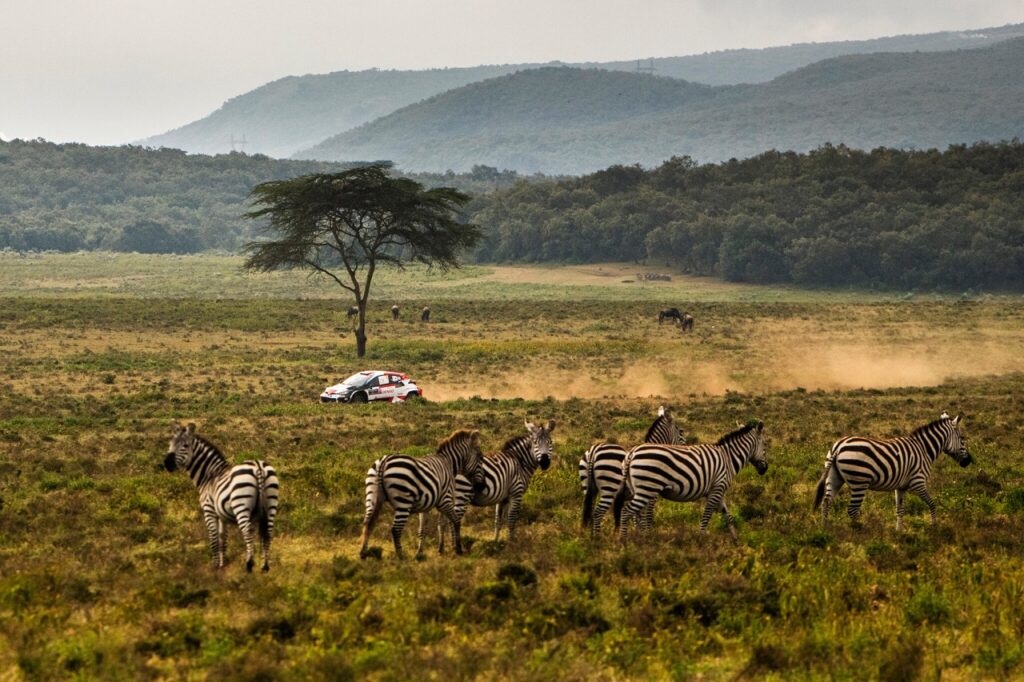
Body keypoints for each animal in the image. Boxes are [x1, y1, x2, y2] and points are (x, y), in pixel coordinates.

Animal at [162, 419, 278, 569]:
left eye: (185, 445)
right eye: (170, 444)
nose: (167, 464)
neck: (209, 475)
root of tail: (258, 466)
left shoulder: (209, 510)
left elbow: (214, 539)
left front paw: (215, 566)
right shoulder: (222, 515)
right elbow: (223, 538)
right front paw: (222, 565)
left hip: (241, 505)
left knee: (248, 531)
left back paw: (249, 564)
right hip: (271, 504)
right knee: (268, 533)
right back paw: (265, 566)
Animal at [581, 403, 684, 532]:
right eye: (681, 433)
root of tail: (594, 451)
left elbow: (637, 516)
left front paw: (637, 531)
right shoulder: (650, 494)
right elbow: (647, 515)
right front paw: (647, 532)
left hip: (588, 488)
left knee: (589, 511)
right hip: (610, 486)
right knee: (597, 513)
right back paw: (597, 536)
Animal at [614, 417, 770, 540]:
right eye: (765, 446)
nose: (765, 469)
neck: (728, 458)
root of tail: (631, 453)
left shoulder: (719, 491)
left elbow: (728, 516)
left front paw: (736, 540)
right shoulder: (716, 489)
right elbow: (706, 516)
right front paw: (701, 539)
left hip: (638, 490)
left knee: (634, 514)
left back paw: (638, 539)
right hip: (647, 489)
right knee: (626, 512)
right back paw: (625, 542)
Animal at [811, 411, 970, 528]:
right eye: (962, 438)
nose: (968, 461)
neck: (924, 449)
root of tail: (838, 446)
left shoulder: (900, 487)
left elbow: (900, 510)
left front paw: (899, 531)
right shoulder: (918, 482)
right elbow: (932, 504)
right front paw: (934, 526)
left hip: (834, 477)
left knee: (826, 503)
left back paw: (825, 529)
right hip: (859, 481)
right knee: (852, 510)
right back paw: (858, 532)